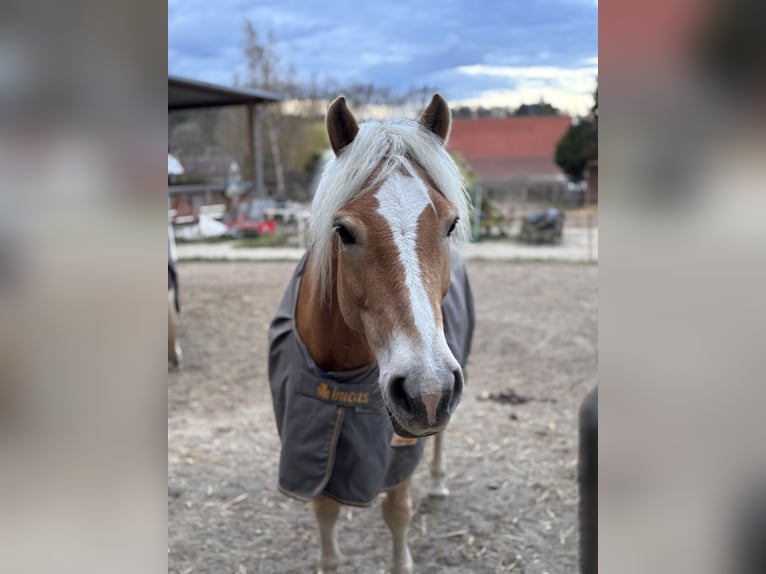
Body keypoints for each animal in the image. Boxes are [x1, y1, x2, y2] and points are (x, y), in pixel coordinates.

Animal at [268, 94, 474, 574]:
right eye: (343, 231)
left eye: (451, 224)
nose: (428, 391)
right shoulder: (312, 446)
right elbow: (325, 512)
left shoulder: (400, 449)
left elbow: (396, 512)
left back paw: (438, 484)